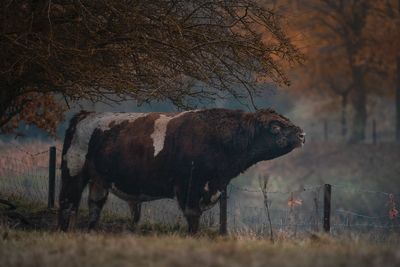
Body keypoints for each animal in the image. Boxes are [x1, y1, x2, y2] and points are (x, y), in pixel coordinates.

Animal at [57, 109, 306, 234]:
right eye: (275, 127)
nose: (302, 134)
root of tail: (85, 115)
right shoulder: (189, 187)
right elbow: (193, 217)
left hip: (99, 181)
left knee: (94, 206)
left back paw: (90, 231)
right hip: (74, 171)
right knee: (68, 205)